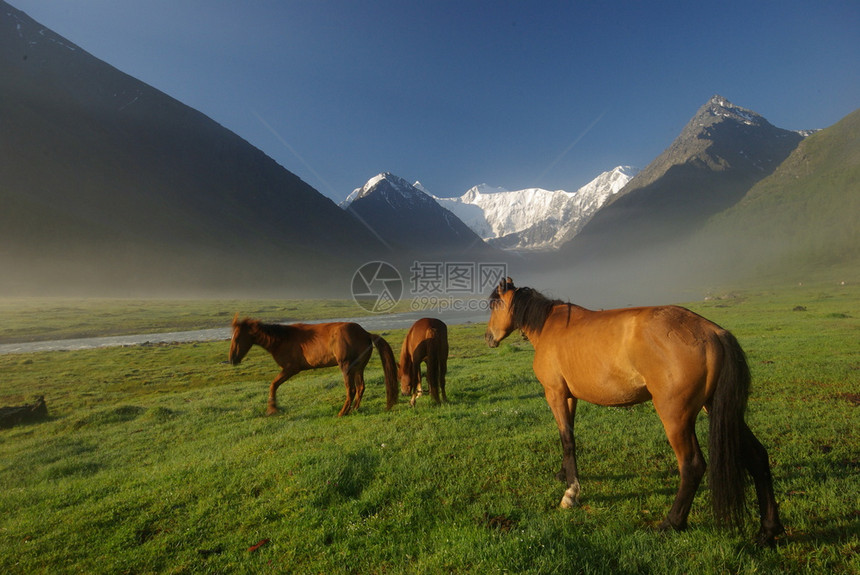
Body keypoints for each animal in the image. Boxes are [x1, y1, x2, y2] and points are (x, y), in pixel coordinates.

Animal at [230, 318, 402, 416]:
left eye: (237, 338)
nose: (232, 359)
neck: (283, 339)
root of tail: (365, 333)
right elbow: (274, 385)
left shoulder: (290, 369)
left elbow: (273, 385)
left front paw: (272, 409)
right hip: (359, 368)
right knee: (361, 388)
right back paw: (354, 409)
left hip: (346, 367)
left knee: (351, 390)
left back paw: (343, 412)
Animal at [484, 280, 788, 548]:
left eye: (494, 304)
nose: (488, 337)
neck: (549, 326)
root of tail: (714, 333)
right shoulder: (569, 398)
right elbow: (568, 439)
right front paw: (564, 475)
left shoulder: (555, 394)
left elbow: (567, 439)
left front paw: (571, 493)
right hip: (718, 408)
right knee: (757, 457)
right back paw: (768, 531)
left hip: (676, 418)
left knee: (692, 466)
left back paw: (671, 523)